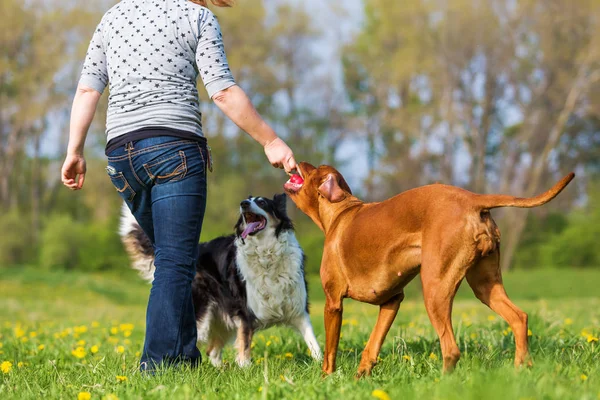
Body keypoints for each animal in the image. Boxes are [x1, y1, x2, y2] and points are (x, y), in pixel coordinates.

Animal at [119, 193, 322, 366]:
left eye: (262, 202)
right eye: (248, 200)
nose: (243, 203)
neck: (267, 253)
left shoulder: (298, 310)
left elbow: (313, 342)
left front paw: (323, 366)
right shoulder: (245, 313)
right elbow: (244, 347)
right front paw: (245, 370)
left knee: (213, 351)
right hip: (203, 315)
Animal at [284, 161, 576, 376]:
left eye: (312, 170)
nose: (299, 161)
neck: (341, 211)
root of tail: (473, 199)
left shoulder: (333, 302)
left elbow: (330, 352)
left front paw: (328, 379)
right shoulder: (392, 300)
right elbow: (372, 346)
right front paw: (361, 376)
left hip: (435, 288)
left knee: (451, 349)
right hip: (485, 285)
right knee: (519, 317)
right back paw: (521, 370)